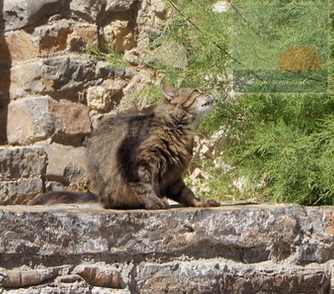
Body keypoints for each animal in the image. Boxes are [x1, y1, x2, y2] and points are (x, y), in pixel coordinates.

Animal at [30, 84, 220, 210]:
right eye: (197, 91)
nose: (210, 92)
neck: (180, 131)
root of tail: (100, 197)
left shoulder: (173, 175)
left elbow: (187, 193)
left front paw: (201, 202)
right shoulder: (134, 161)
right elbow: (143, 186)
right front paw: (154, 202)